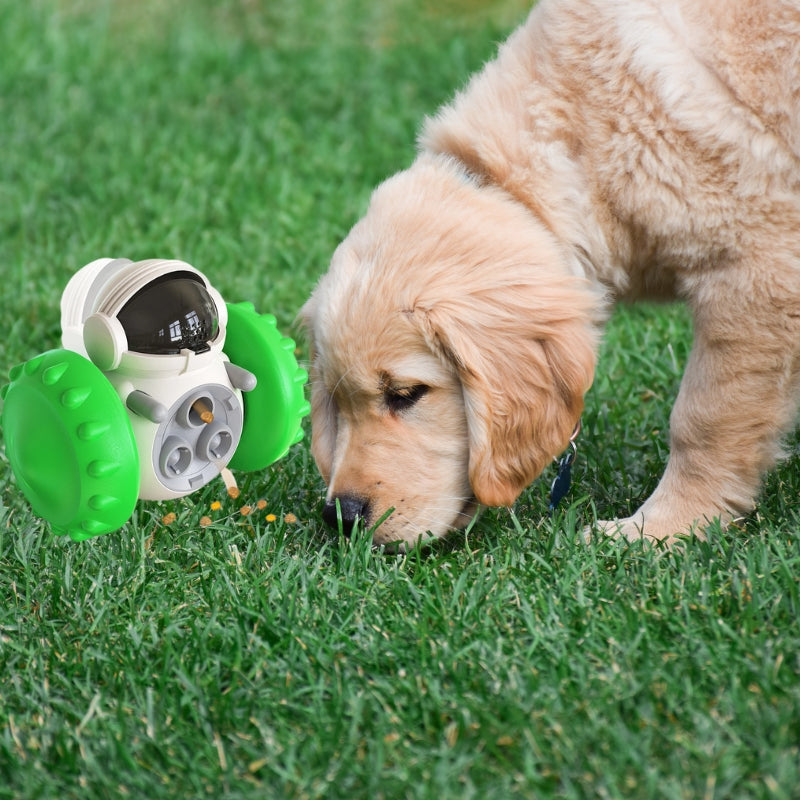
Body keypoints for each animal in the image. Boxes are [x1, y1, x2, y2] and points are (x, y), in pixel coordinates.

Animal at [302, 0, 800, 548]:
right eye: (337, 402)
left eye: (406, 395)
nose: (341, 517)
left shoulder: (755, 267)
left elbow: (704, 419)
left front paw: (661, 528)